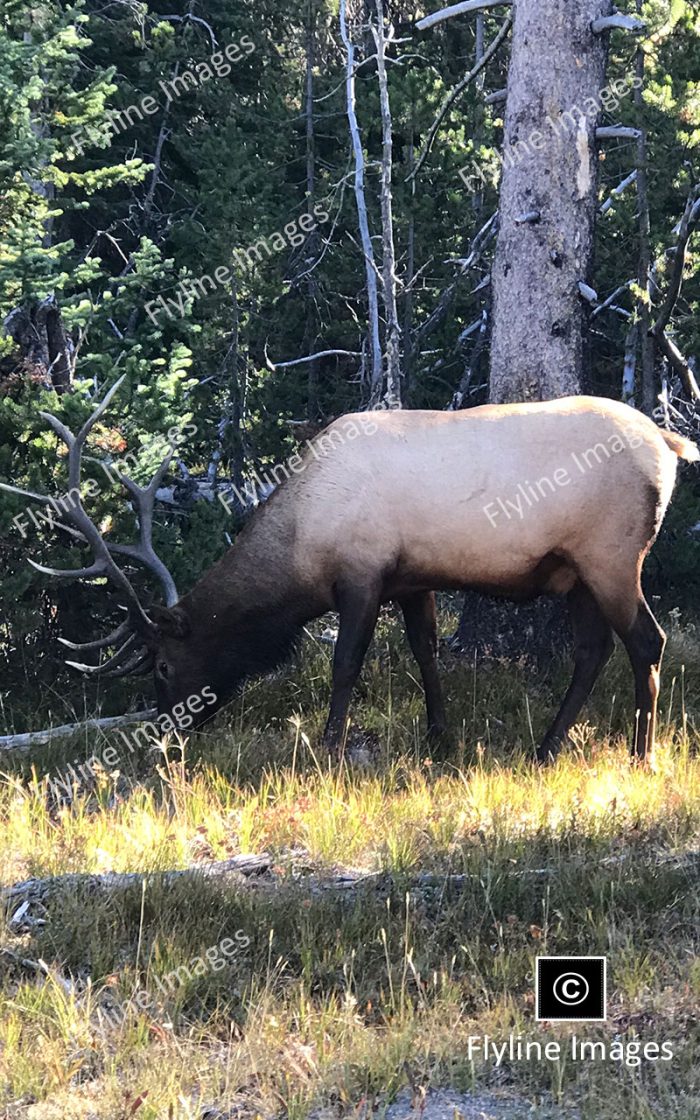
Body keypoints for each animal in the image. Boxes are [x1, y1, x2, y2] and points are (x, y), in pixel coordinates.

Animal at [2, 378, 694, 761]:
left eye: (165, 667)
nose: (165, 735)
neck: (302, 545)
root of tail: (670, 444)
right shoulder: (413, 578)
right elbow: (425, 651)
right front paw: (438, 736)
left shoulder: (361, 575)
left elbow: (346, 664)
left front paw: (330, 747)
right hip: (577, 571)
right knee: (592, 649)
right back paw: (547, 748)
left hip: (611, 556)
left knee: (647, 641)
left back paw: (641, 753)